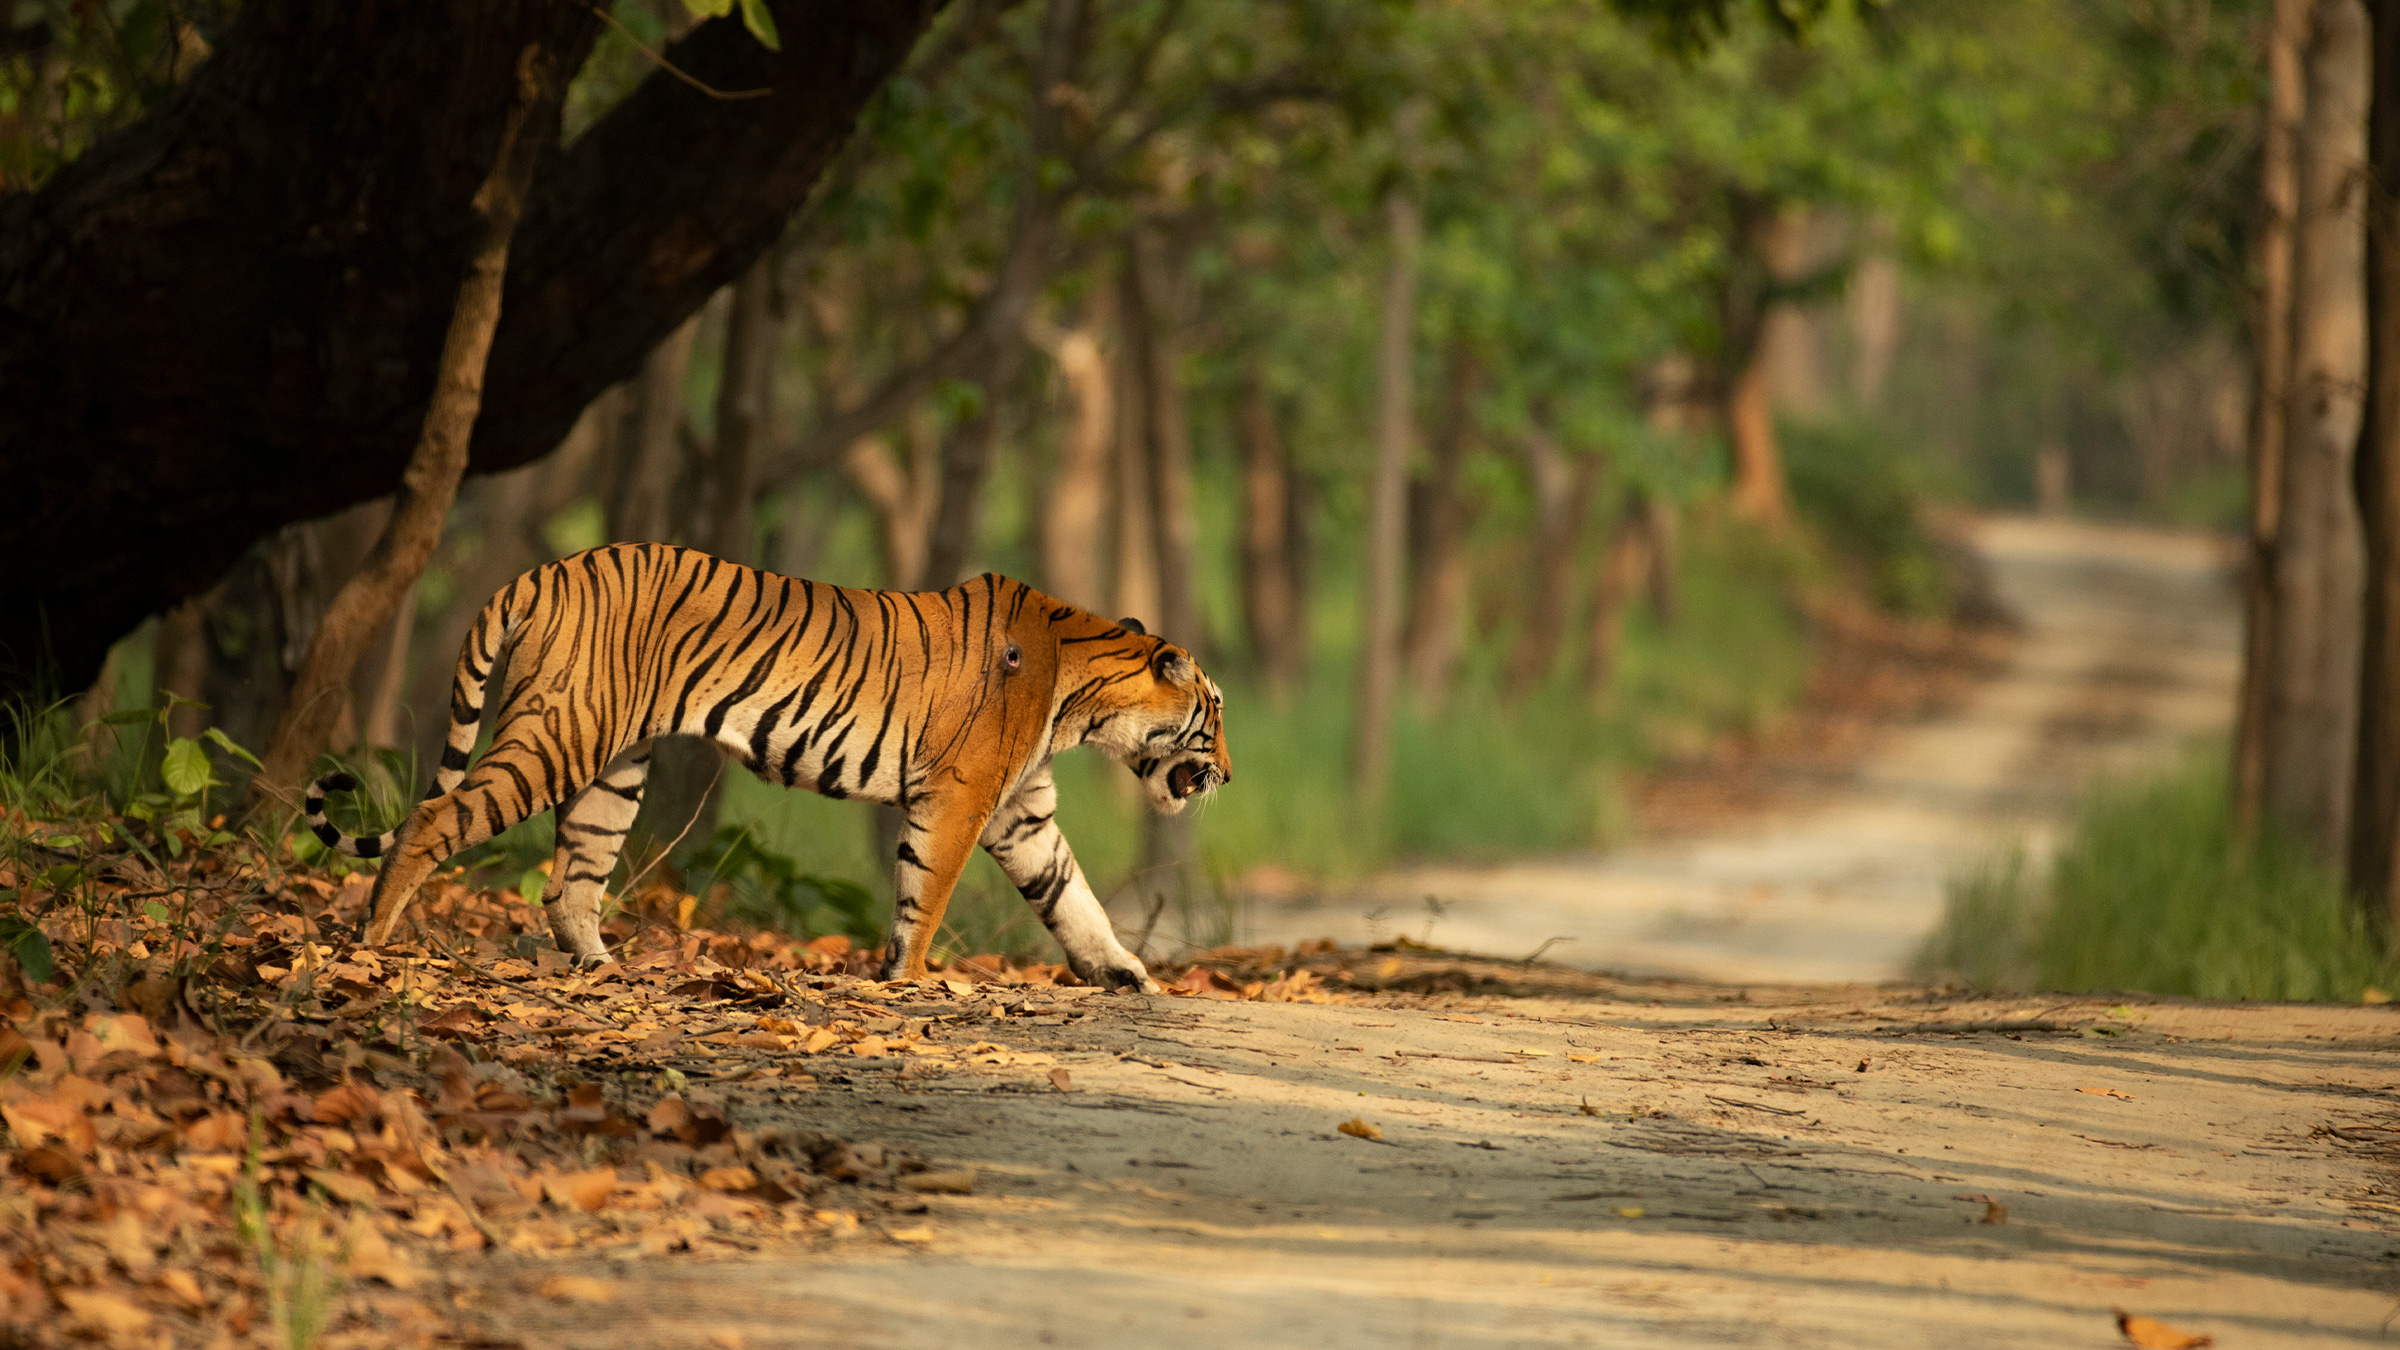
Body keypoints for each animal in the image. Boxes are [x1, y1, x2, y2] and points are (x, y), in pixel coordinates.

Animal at [302, 543, 1230, 993]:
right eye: (1214, 723)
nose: (1225, 775)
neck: (1083, 696)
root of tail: (545, 570)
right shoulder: (961, 797)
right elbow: (926, 893)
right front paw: (909, 980)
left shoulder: (1021, 811)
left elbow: (1071, 895)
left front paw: (1122, 973)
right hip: (560, 735)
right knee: (433, 819)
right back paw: (373, 941)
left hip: (614, 770)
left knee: (571, 879)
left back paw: (604, 968)